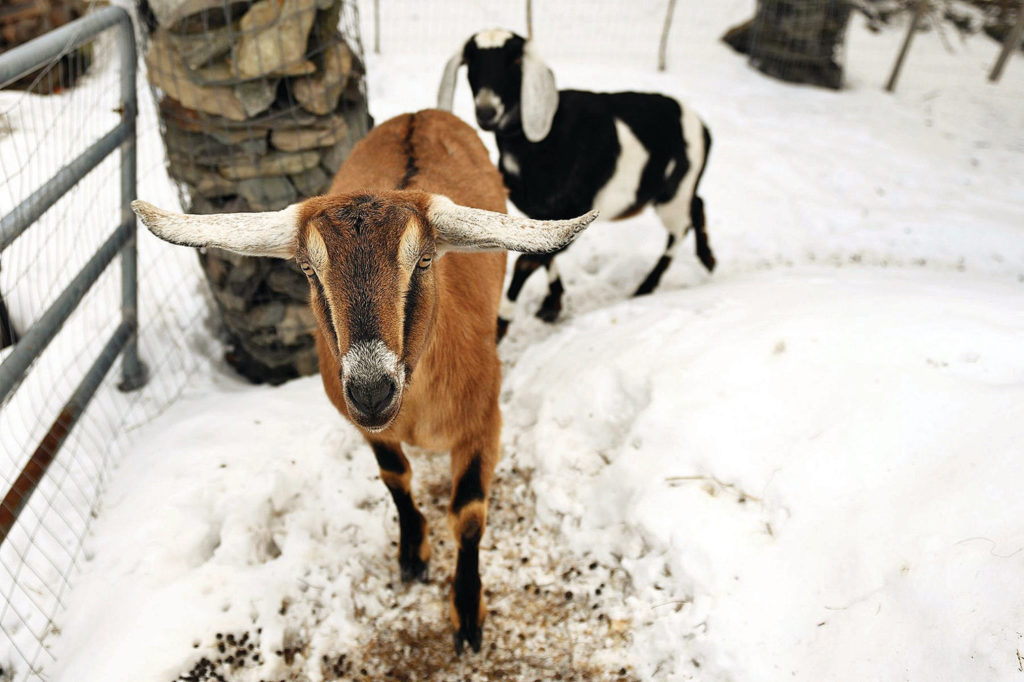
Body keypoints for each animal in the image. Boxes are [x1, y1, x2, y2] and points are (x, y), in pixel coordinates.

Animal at [132, 109, 598, 651]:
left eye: (423, 260)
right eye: (308, 269)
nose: (372, 389)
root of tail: (421, 113)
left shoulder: (484, 421)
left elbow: (467, 514)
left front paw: (467, 616)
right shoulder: (366, 427)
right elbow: (395, 478)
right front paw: (412, 555)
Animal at [436, 29, 716, 337]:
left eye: (516, 60)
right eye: (471, 61)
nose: (487, 112)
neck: (541, 142)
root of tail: (702, 126)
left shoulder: (576, 207)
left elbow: (527, 260)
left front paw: (502, 323)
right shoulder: (543, 214)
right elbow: (543, 250)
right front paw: (552, 303)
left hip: (673, 196)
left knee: (679, 230)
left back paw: (647, 286)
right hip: (679, 190)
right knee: (698, 204)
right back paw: (707, 258)